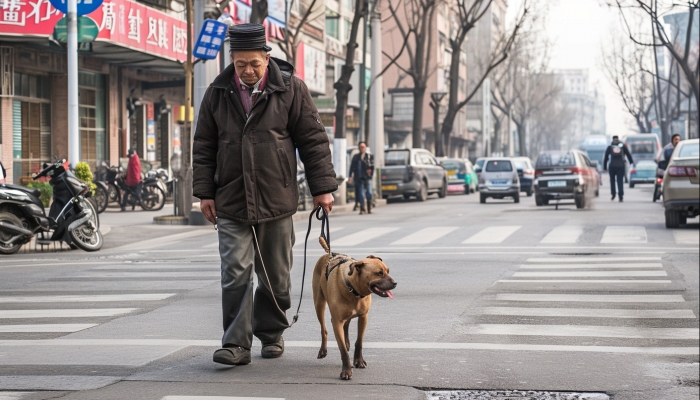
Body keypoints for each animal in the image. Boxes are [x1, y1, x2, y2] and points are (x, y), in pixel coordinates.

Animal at [314, 238, 396, 382]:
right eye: (379, 273)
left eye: (387, 271)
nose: (395, 283)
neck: (353, 290)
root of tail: (328, 253)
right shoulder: (337, 322)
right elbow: (342, 350)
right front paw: (346, 371)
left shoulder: (363, 317)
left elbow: (359, 342)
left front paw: (359, 361)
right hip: (319, 303)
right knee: (324, 329)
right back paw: (323, 350)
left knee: (346, 325)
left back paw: (347, 342)